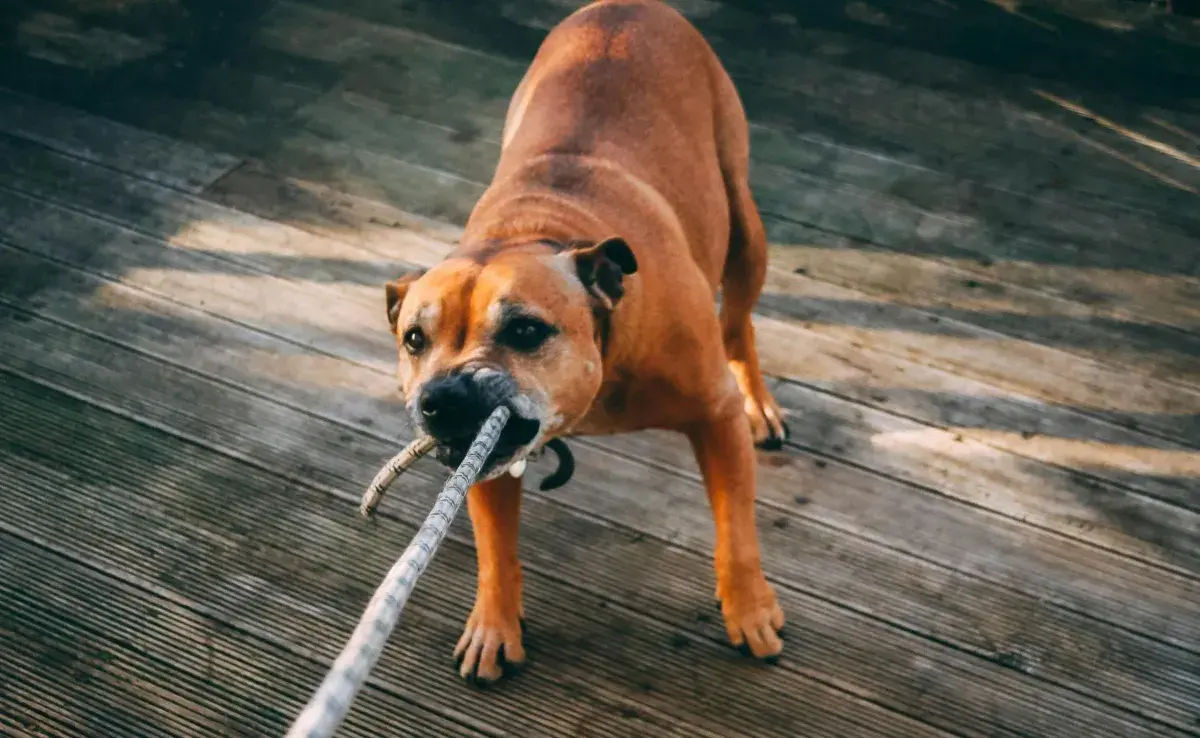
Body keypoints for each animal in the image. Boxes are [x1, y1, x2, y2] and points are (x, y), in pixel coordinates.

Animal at [384, 0, 792, 686]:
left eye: (525, 330)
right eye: (414, 339)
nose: (443, 398)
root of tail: (625, 7)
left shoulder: (715, 417)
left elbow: (735, 529)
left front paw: (751, 610)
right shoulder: (488, 461)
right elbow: (496, 548)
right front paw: (494, 626)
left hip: (744, 226)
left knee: (739, 322)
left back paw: (760, 402)